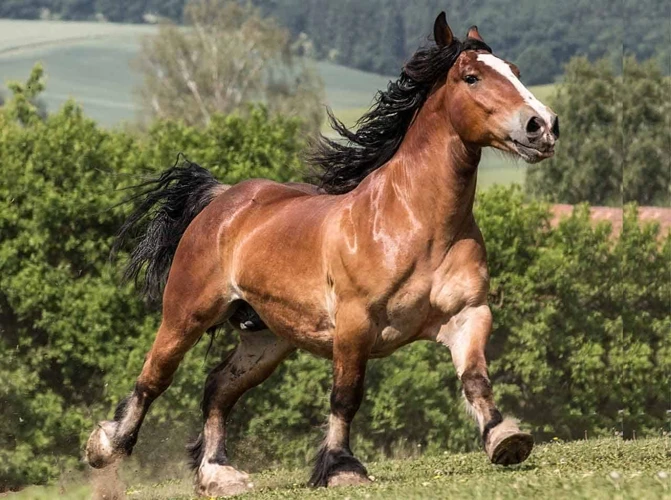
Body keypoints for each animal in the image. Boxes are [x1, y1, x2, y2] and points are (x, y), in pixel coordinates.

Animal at [85, 10, 556, 496]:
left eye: (516, 72)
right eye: (472, 77)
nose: (542, 126)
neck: (416, 224)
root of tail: (221, 200)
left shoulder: (469, 313)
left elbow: (476, 379)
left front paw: (505, 438)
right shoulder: (354, 323)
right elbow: (346, 395)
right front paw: (341, 467)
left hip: (268, 338)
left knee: (217, 387)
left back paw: (218, 473)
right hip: (186, 315)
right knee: (154, 378)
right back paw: (106, 446)